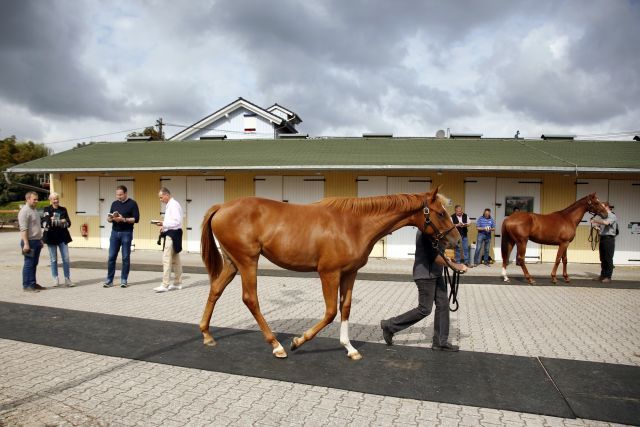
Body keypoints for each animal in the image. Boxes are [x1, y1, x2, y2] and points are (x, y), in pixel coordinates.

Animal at [200, 187, 460, 362]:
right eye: (440, 213)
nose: (456, 240)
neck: (353, 225)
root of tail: (221, 207)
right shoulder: (329, 273)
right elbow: (330, 312)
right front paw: (298, 341)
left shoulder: (350, 273)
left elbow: (345, 307)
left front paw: (350, 348)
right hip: (248, 261)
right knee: (250, 299)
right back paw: (277, 345)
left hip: (232, 263)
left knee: (215, 290)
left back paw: (207, 335)